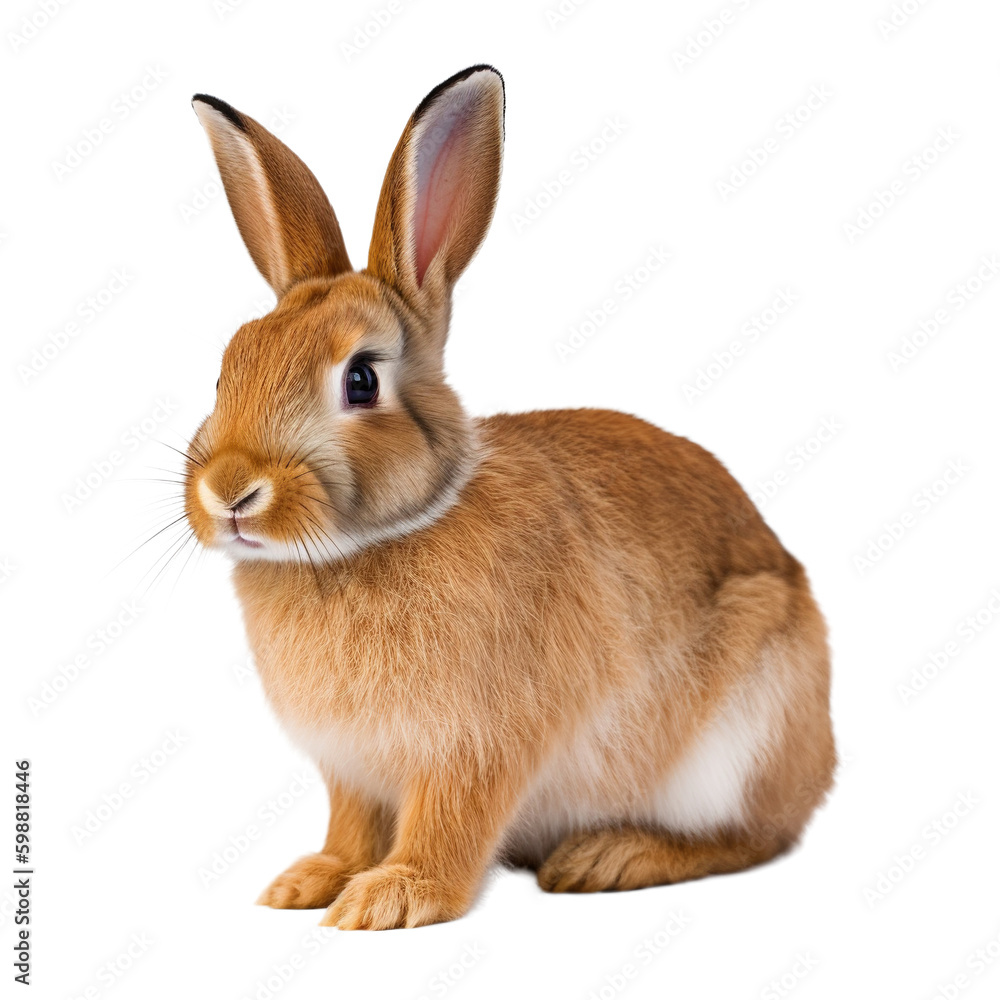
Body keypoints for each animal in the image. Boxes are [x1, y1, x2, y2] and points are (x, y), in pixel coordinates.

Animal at [184, 64, 835, 930]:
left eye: (361, 380)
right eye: (230, 365)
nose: (229, 491)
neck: (379, 539)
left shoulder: (477, 747)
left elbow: (450, 823)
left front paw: (392, 899)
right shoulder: (349, 768)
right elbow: (350, 826)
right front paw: (311, 881)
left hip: (740, 737)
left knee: (750, 837)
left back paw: (610, 857)